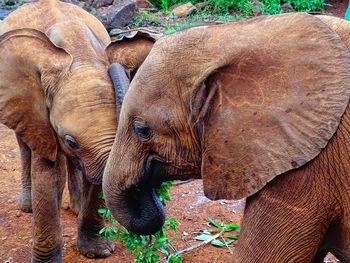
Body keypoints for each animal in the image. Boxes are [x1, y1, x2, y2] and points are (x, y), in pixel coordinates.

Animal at [0, 0, 154, 262]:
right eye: (70, 141)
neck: (81, 55)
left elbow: (94, 179)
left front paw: (98, 252)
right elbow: (49, 176)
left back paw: (76, 207)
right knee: (24, 145)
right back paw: (28, 206)